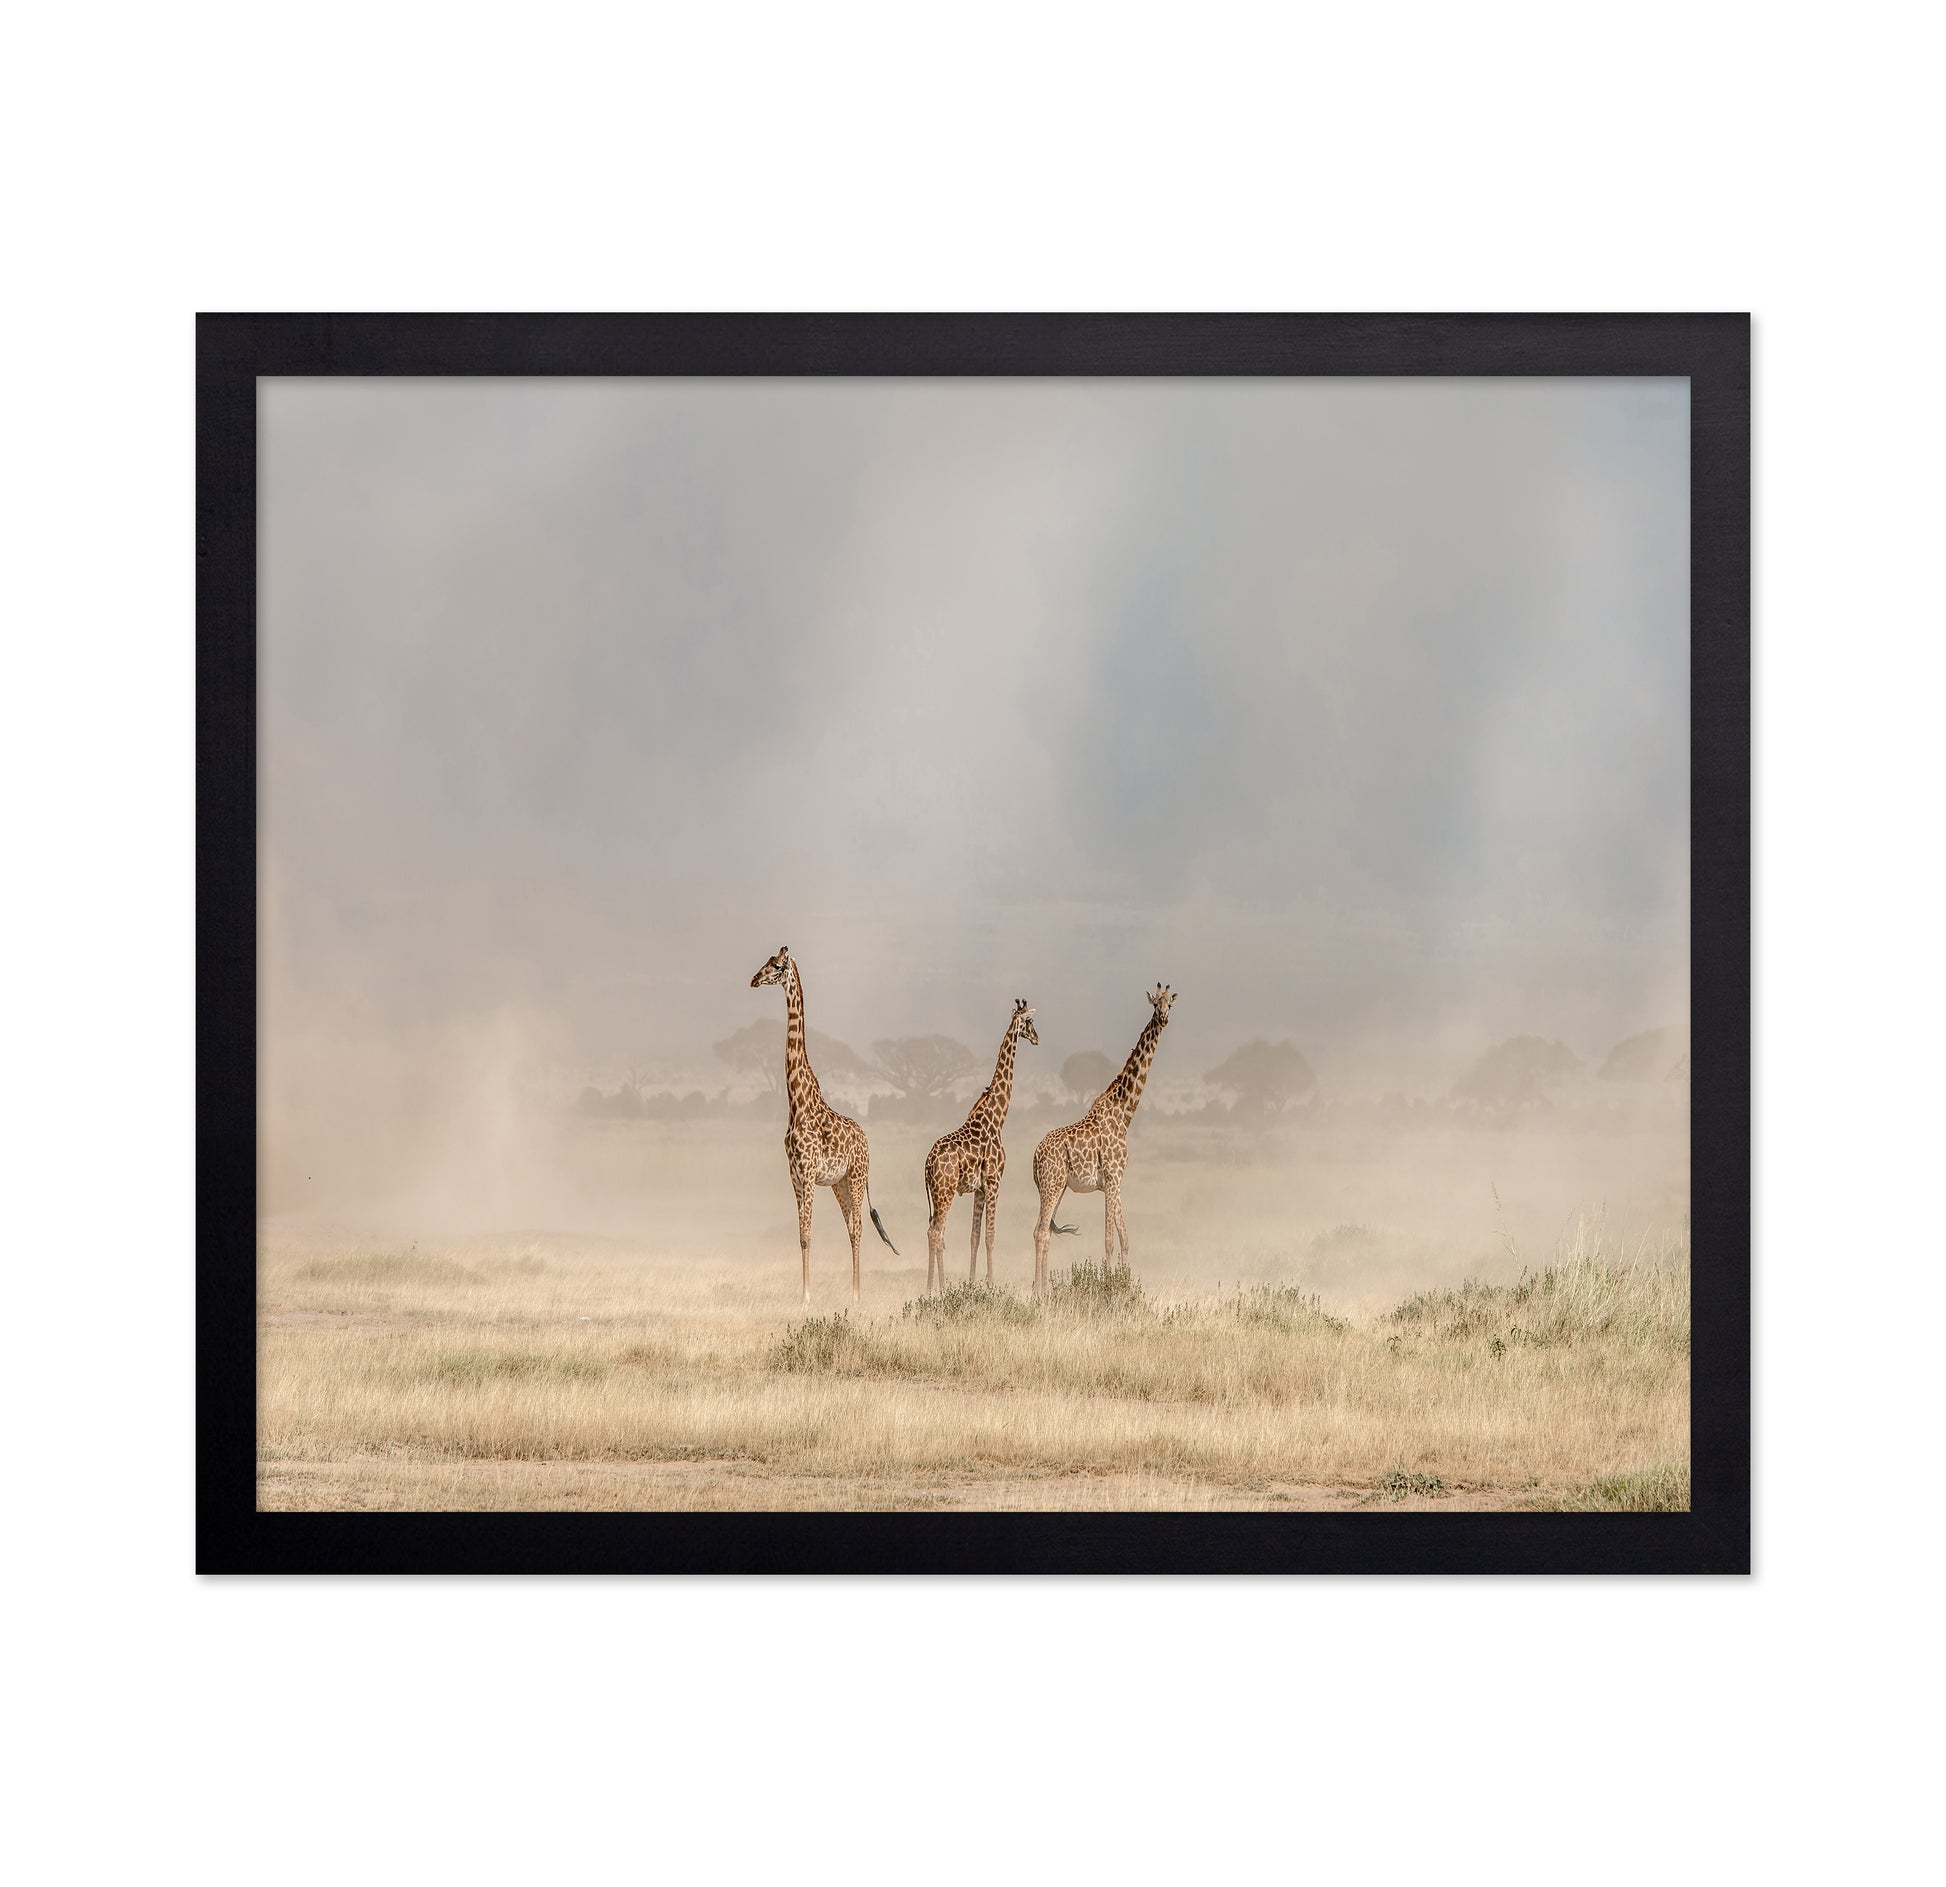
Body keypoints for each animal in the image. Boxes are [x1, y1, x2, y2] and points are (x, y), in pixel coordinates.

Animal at [749, 945, 897, 1305]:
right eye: (766, 962)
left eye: (777, 966)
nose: (754, 980)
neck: (797, 1102)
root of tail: (866, 1140)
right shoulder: (795, 1175)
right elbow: (801, 1234)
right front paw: (804, 1295)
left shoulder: (808, 1173)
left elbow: (808, 1233)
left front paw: (806, 1297)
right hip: (839, 1184)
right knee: (851, 1228)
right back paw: (852, 1293)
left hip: (856, 1178)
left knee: (859, 1228)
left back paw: (857, 1296)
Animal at [922, 999, 1040, 1292]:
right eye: (1030, 1022)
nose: (1036, 1038)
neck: (996, 1118)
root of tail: (927, 1164)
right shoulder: (995, 1181)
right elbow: (990, 1236)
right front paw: (991, 1283)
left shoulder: (979, 1188)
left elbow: (974, 1236)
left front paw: (973, 1283)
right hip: (946, 1191)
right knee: (936, 1232)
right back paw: (938, 1288)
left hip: (938, 1194)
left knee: (934, 1231)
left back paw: (932, 1287)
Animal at [1030, 984, 1177, 1294]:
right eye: (1154, 1004)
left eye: (1170, 1003)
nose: (1163, 1019)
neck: (1124, 1115)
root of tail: (1035, 1156)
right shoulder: (1111, 1177)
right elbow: (1109, 1240)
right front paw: (1110, 1285)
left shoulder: (1116, 1181)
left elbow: (1125, 1238)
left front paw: (1126, 1282)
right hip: (1051, 1185)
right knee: (1039, 1232)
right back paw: (1040, 1292)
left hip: (1057, 1187)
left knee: (1043, 1231)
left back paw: (1044, 1290)